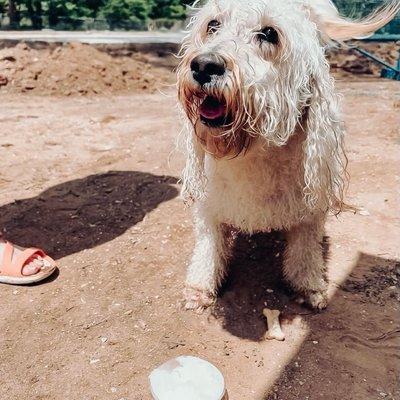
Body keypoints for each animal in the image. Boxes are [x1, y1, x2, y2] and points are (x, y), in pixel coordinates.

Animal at [177, 0, 398, 312]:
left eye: (270, 34)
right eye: (212, 25)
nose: (204, 65)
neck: (255, 153)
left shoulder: (310, 211)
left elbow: (305, 251)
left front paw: (309, 287)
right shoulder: (210, 206)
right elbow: (208, 247)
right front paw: (199, 289)